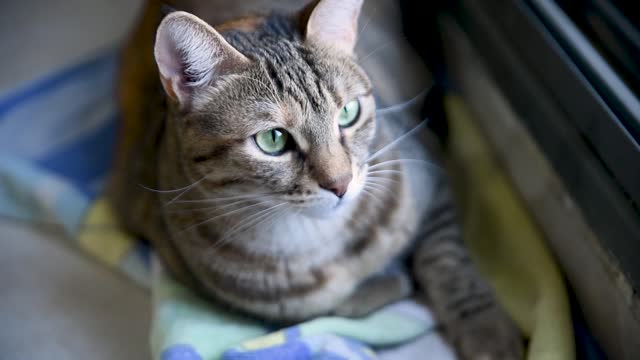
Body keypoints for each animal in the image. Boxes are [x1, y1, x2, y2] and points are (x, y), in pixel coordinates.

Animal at [109, 0, 520, 358]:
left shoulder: (431, 174)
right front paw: (386, 284)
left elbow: (449, 262)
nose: (340, 183)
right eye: (273, 139)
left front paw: (486, 329)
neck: (317, 242)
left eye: (348, 113)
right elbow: (334, 306)